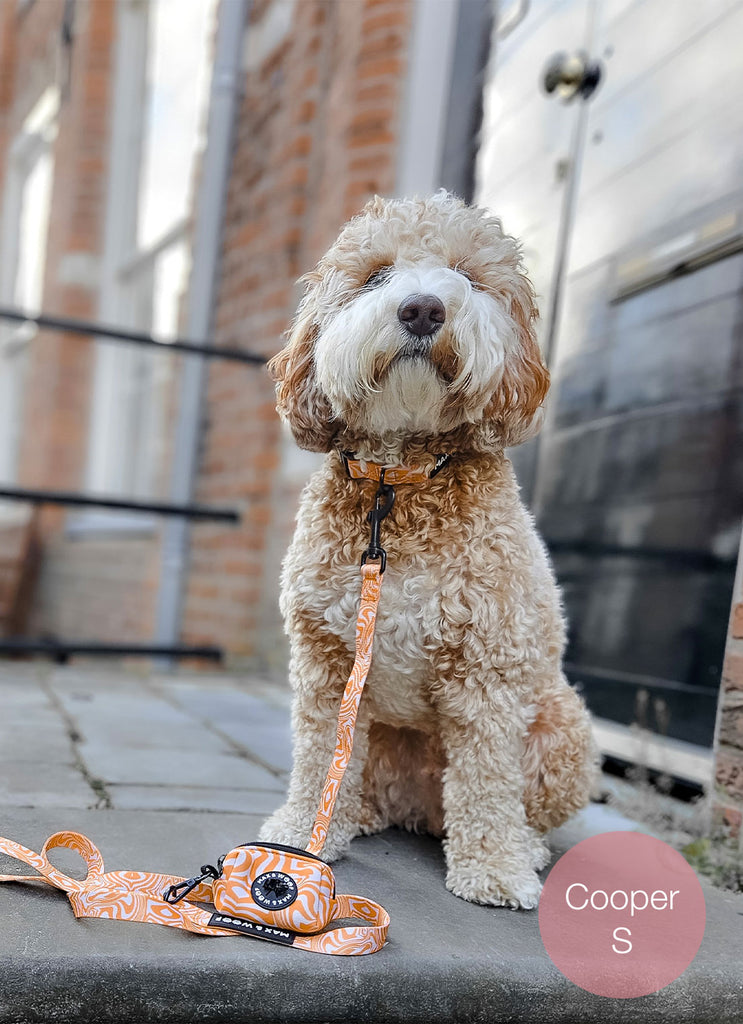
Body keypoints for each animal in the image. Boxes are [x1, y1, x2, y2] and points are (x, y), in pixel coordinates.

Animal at [261, 190, 597, 905]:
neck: (400, 482)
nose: (422, 308)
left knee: (513, 804)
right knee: (364, 782)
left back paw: (523, 847)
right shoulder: (326, 663)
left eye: (467, 275)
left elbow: (488, 777)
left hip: (565, 728)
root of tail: (423, 811)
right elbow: (318, 758)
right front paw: (302, 832)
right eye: (376, 275)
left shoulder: (489, 667)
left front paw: (493, 869)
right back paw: (355, 815)